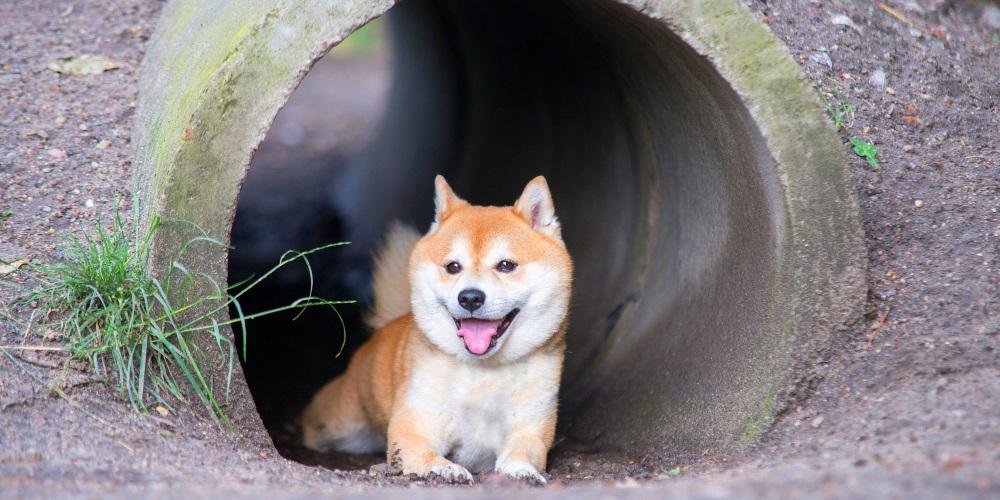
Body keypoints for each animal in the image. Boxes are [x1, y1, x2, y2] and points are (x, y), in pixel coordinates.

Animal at [300, 176, 576, 484]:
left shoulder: (530, 430)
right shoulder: (414, 427)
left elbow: (523, 452)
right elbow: (424, 454)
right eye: (453, 266)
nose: (470, 297)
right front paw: (443, 468)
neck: (482, 373)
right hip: (341, 423)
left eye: (506, 265)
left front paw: (521, 471)